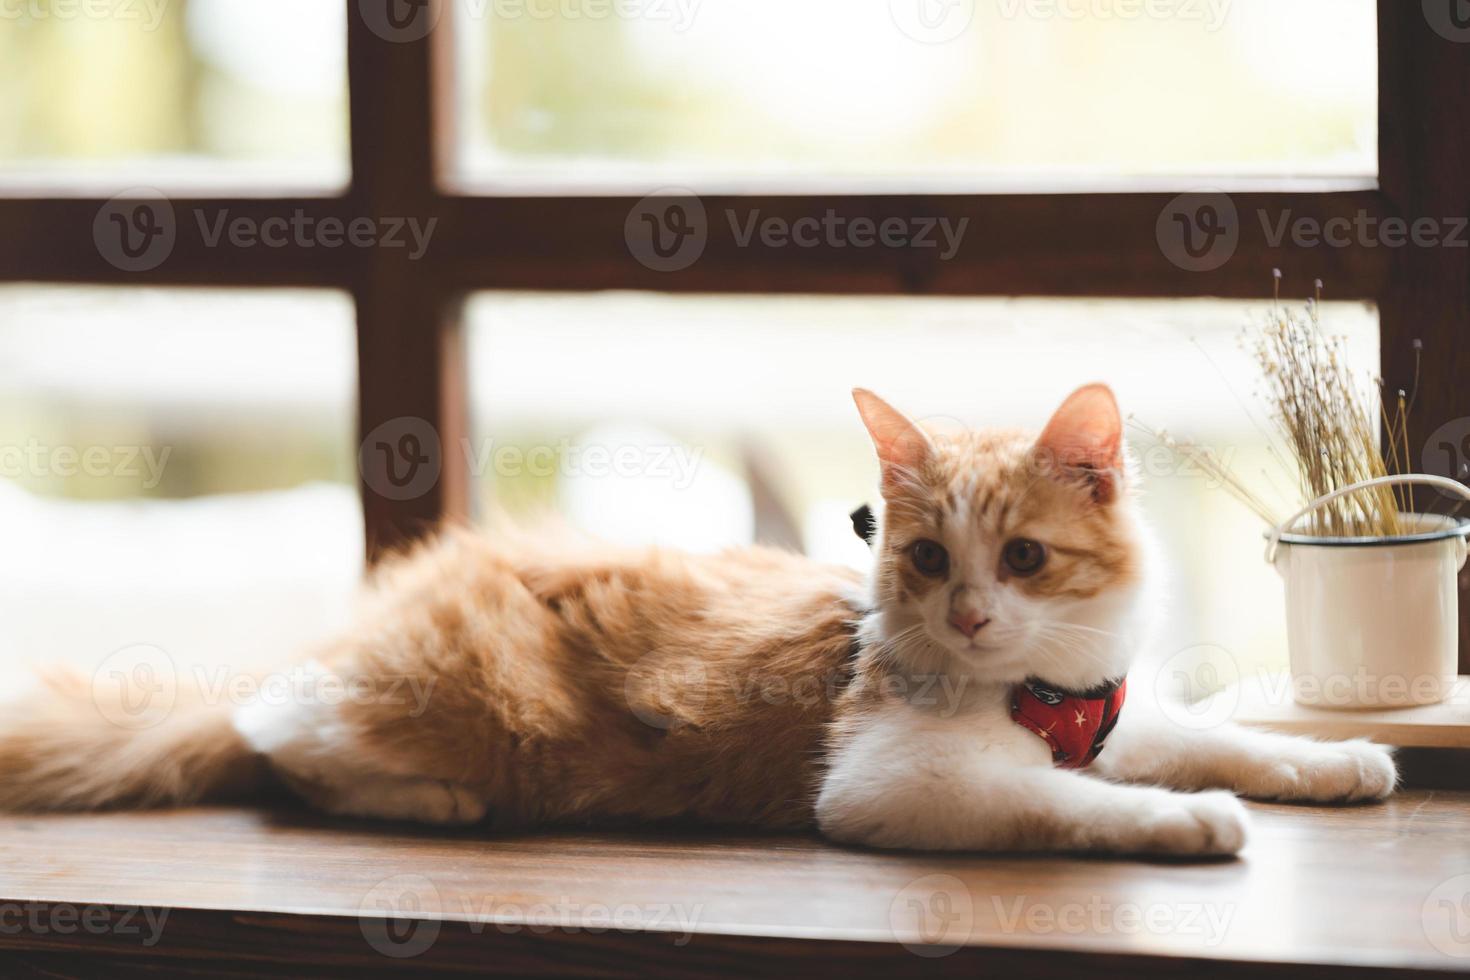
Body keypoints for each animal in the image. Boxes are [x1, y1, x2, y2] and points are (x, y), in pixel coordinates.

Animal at [0, 387, 1393, 852]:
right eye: (926, 556)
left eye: (1024, 557)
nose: (969, 611)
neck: (1043, 691)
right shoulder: (896, 784)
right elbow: (1080, 801)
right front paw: (1192, 822)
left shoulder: (1117, 711)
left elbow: (1215, 736)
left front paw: (1337, 759)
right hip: (471, 700)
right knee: (276, 735)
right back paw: (431, 797)